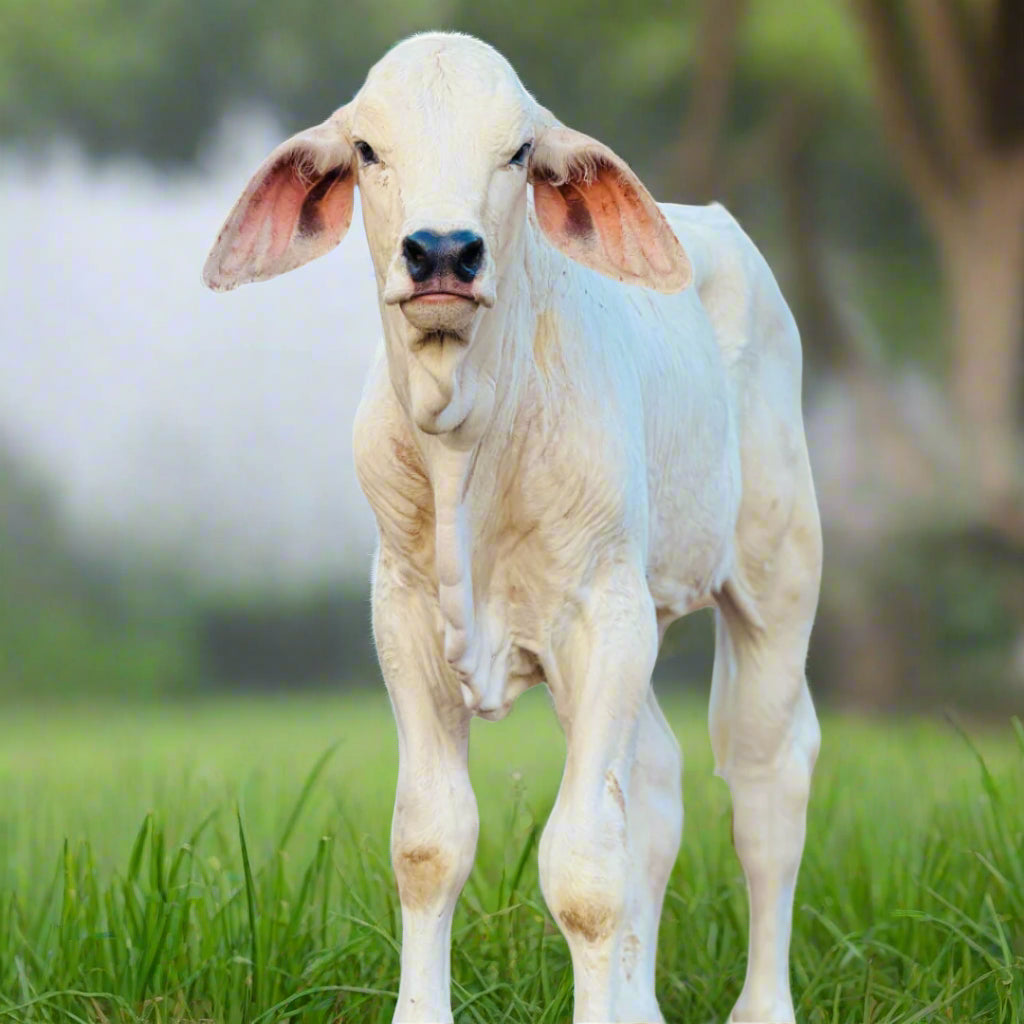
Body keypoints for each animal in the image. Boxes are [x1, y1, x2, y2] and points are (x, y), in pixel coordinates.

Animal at [203, 32, 822, 1024]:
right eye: (368, 150)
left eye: (520, 152)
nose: (442, 252)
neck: (468, 443)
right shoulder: (404, 613)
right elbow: (431, 842)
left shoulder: (604, 615)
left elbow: (584, 868)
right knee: (655, 781)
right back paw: (641, 1005)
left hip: (778, 571)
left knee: (766, 781)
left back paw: (762, 1007)